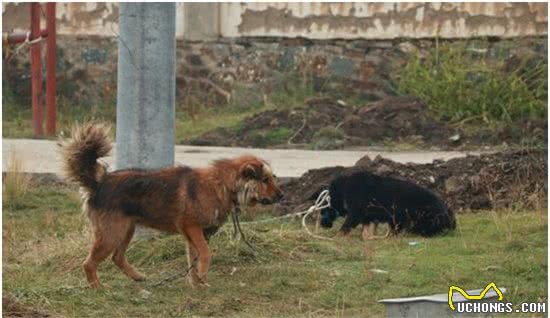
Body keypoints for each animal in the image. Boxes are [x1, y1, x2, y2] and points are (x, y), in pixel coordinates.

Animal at [61, 123, 284, 288]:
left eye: (272, 177)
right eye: (265, 180)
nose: (282, 196)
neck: (223, 184)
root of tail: (99, 183)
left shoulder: (196, 235)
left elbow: (193, 259)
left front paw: (197, 283)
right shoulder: (192, 228)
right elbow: (205, 254)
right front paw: (201, 276)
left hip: (126, 230)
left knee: (117, 257)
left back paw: (137, 277)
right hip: (111, 234)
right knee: (89, 264)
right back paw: (98, 288)